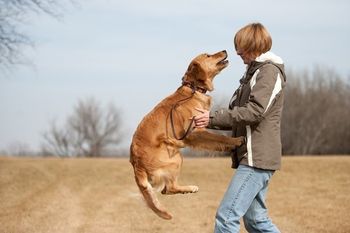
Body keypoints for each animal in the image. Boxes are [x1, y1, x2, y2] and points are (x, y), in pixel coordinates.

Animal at [129, 50, 243, 219]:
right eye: (208, 55)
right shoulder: (194, 132)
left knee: (166, 190)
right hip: (175, 157)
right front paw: (237, 141)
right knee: (168, 188)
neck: (194, 90)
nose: (225, 50)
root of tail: (136, 164)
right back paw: (191, 187)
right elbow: (219, 137)